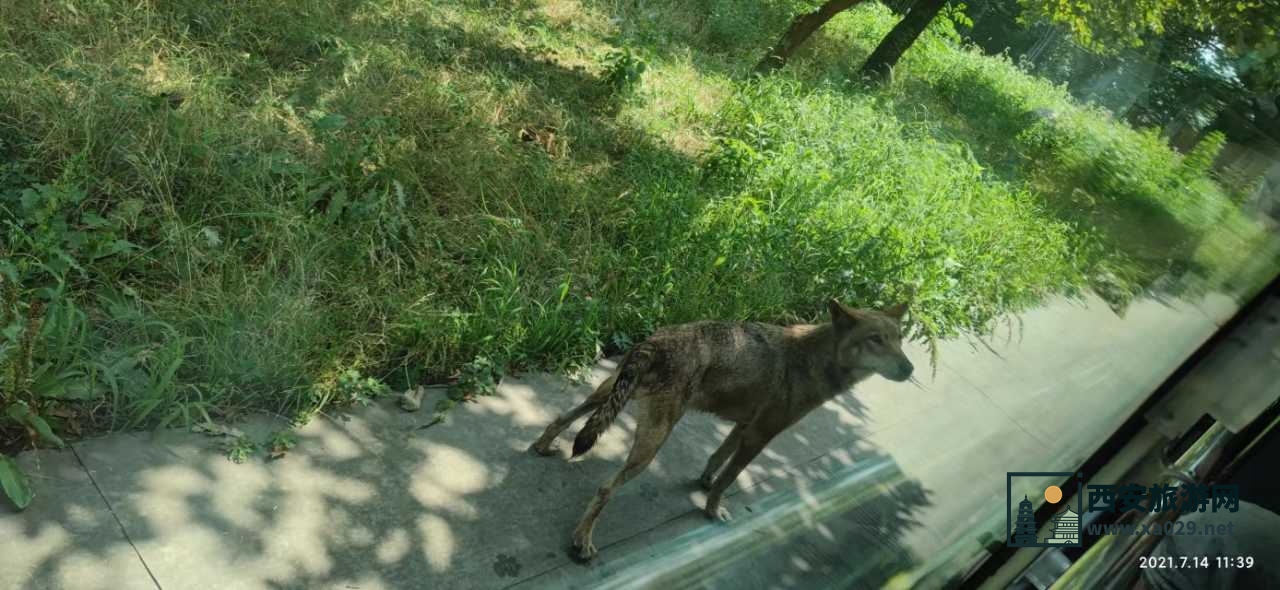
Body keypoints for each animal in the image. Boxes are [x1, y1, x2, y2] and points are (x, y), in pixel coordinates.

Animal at [527, 299, 911, 560]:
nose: (909, 369)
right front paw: (713, 511)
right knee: (606, 488)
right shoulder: (760, 436)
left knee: (562, 418)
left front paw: (704, 482)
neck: (814, 360)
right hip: (651, 444)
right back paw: (583, 541)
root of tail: (654, 341)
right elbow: (729, 479)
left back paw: (542, 447)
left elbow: (716, 459)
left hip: (605, 396)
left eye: (899, 339)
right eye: (876, 340)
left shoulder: (744, 426)